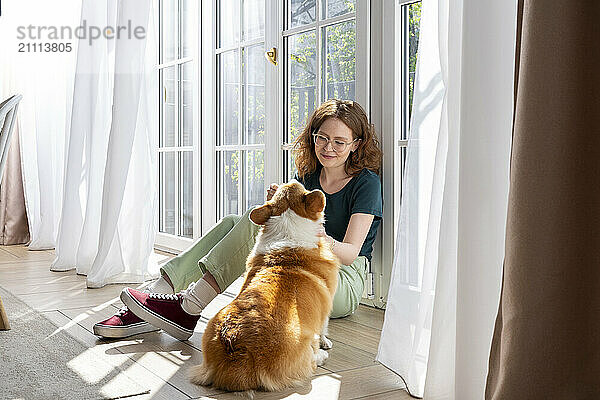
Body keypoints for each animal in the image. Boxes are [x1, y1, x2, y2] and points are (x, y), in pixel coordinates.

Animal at [189, 181, 338, 394]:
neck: (288, 228)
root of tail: (237, 351)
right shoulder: (326, 304)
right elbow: (324, 326)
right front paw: (325, 343)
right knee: (310, 361)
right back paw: (320, 356)